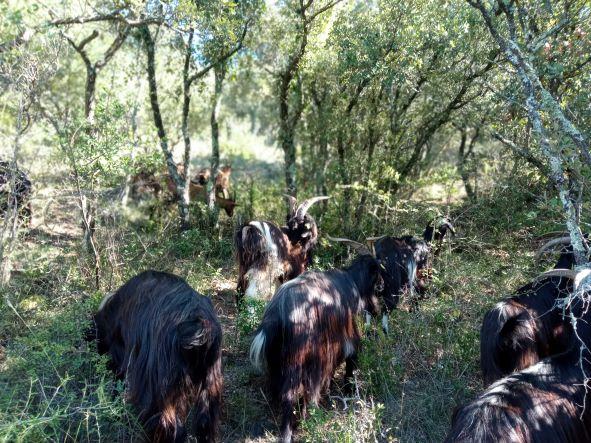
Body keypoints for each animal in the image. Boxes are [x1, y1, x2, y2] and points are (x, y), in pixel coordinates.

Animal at [250, 255, 384, 442]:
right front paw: (349, 388)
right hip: (302, 361)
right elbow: (352, 355)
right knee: (293, 395)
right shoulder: (344, 335)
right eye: (379, 279)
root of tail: (277, 314)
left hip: (278, 360)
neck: (351, 281)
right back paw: (291, 430)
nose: (379, 310)